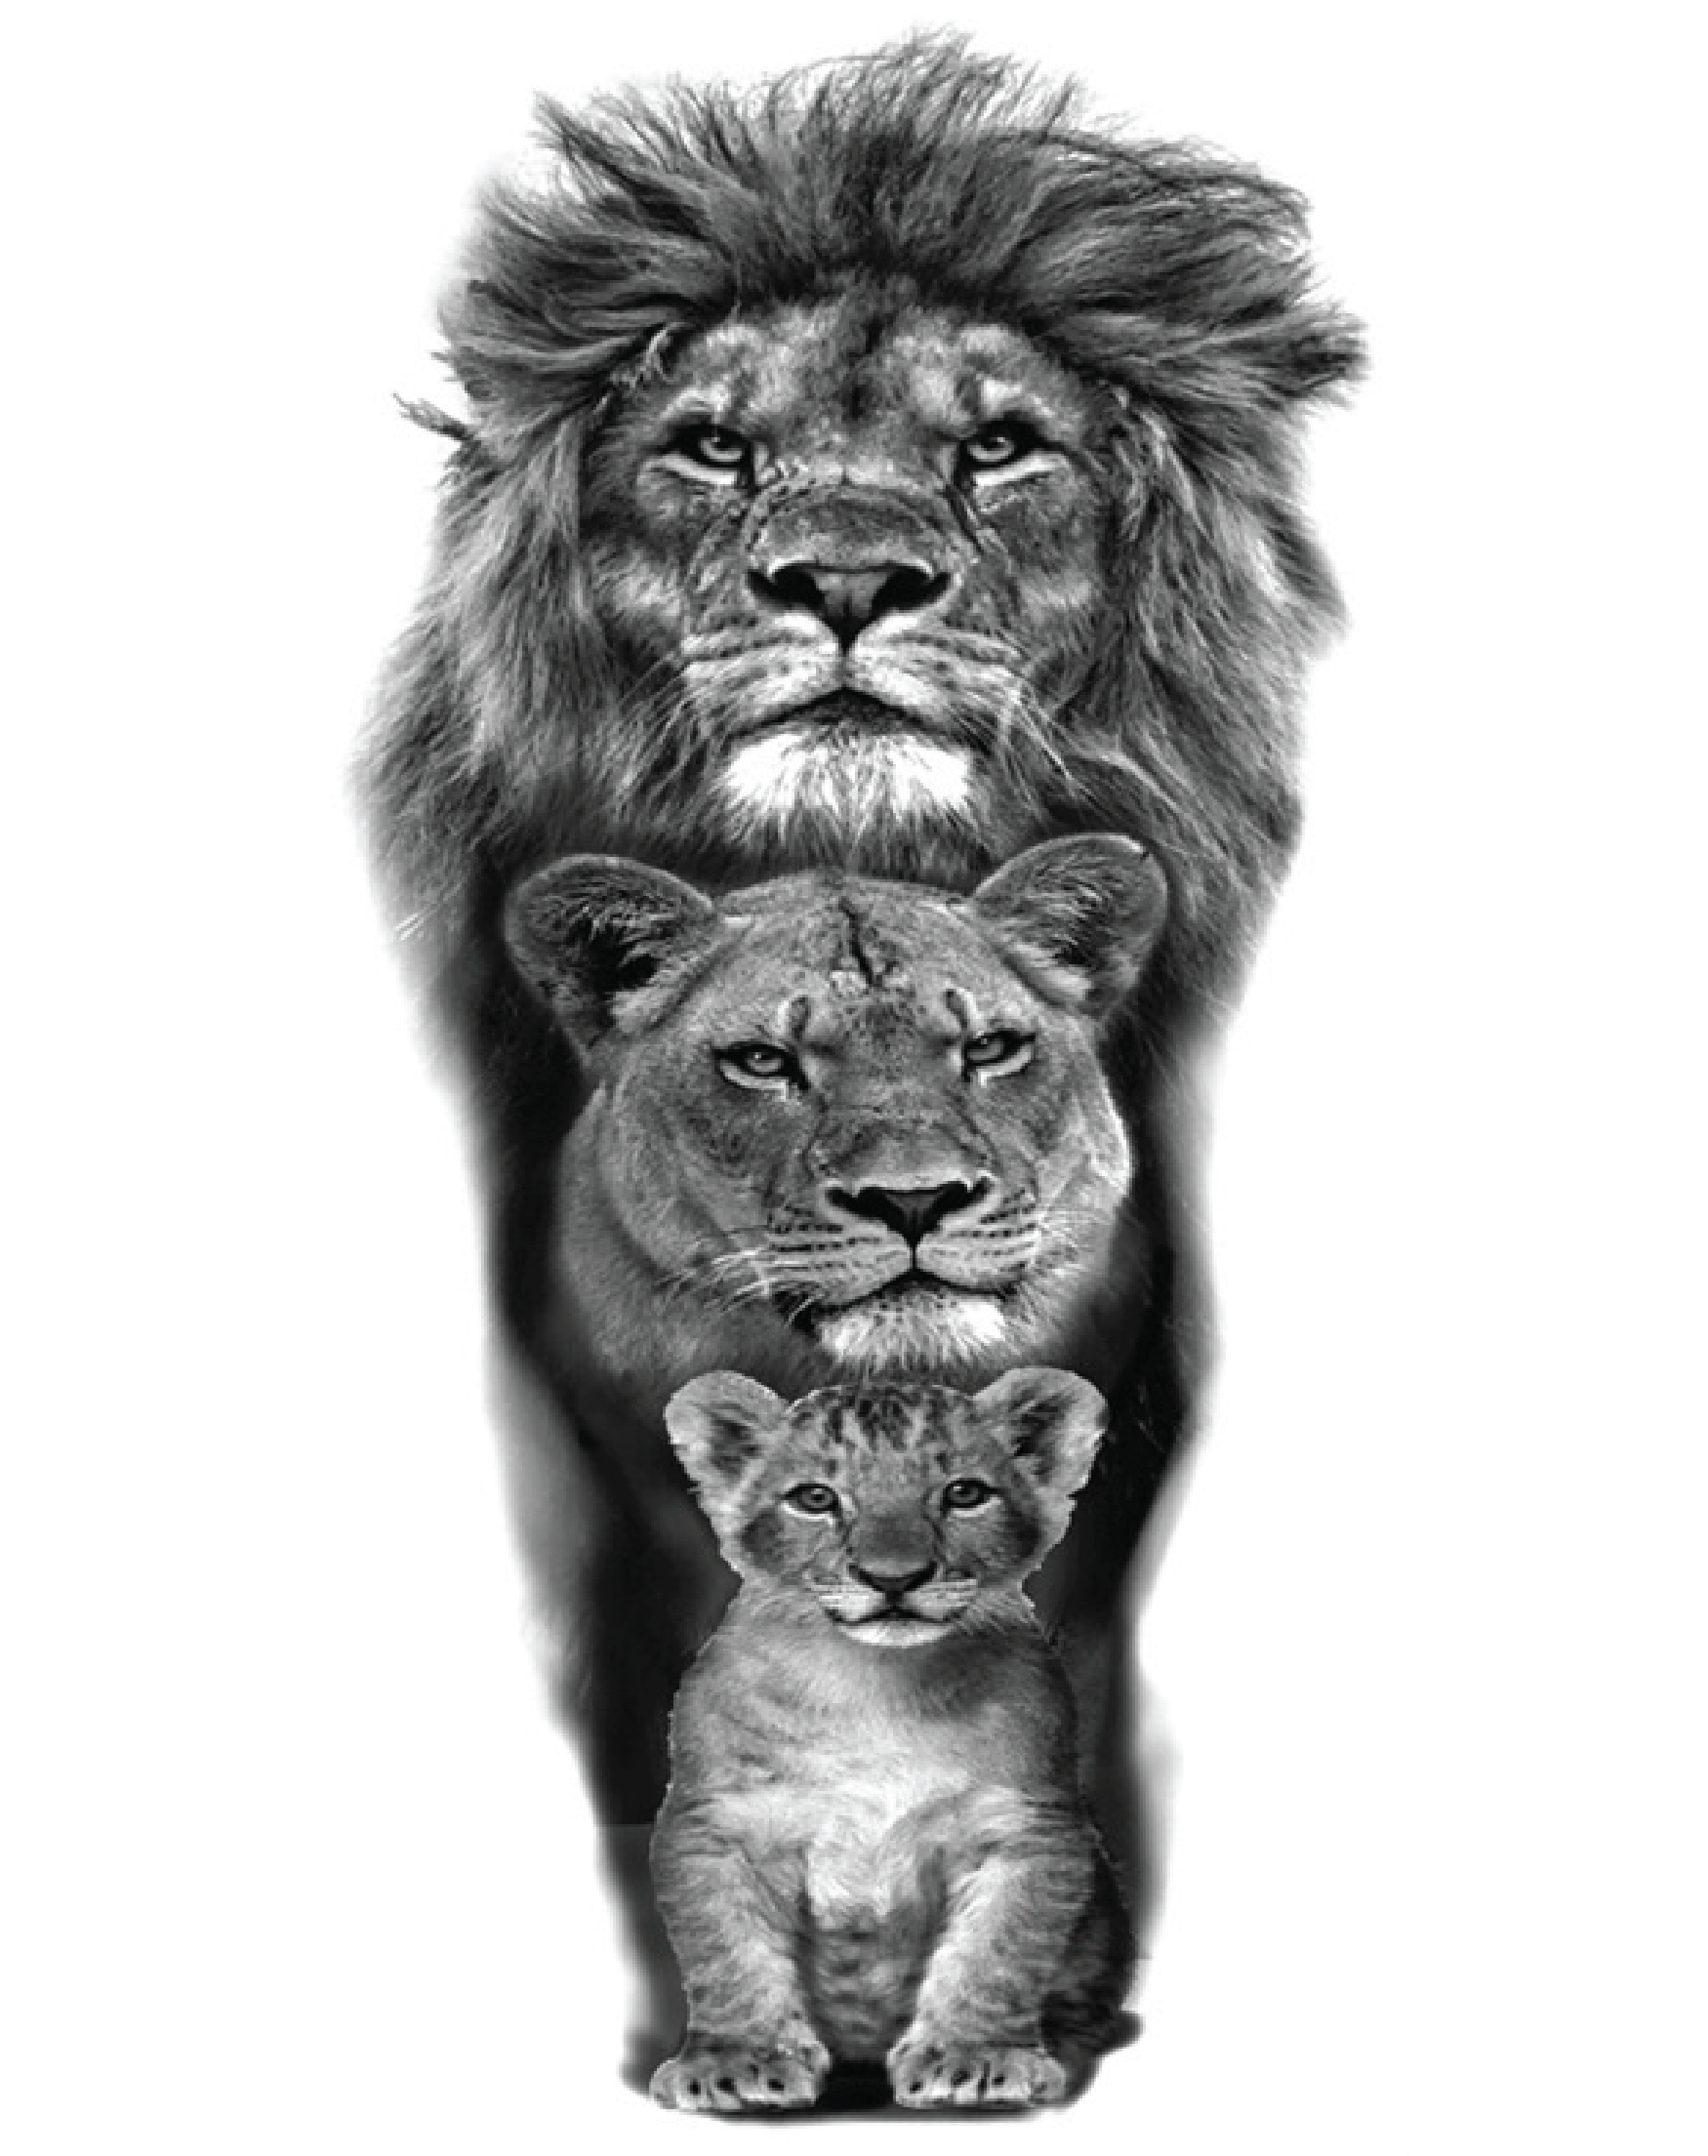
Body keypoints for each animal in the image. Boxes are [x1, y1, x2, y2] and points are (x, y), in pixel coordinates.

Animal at [650, 1367, 1132, 2112]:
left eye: (964, 1493)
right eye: (814, 1498)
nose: (894, 1577)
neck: (875, 1687)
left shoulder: (1026, 1829)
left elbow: (996, 1952)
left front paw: (973, 2057)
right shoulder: (716, 1825)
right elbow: (728, 1953)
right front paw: (738, 2060)